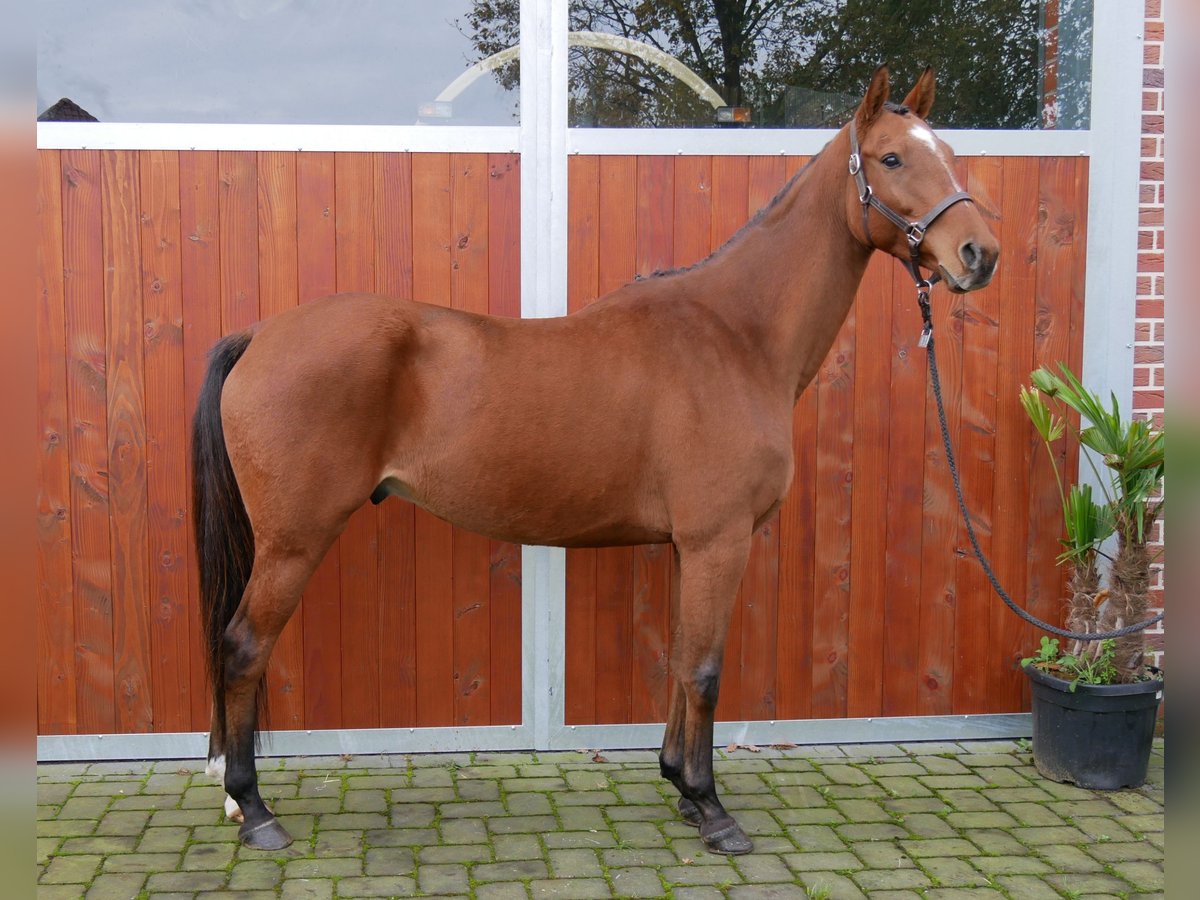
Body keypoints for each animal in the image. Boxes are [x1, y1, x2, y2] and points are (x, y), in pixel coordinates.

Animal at [196, 66, 998, 854]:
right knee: (242, 648)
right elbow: (705, 671)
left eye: (950, 152)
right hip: (293, 542)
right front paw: (713, 809)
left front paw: (680, 785)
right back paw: (255, 809)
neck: (735, 336)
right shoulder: (719, 542)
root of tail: (260, 334)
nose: (978, 254)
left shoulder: (687, 547)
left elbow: (679, 661)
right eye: (892, 158)